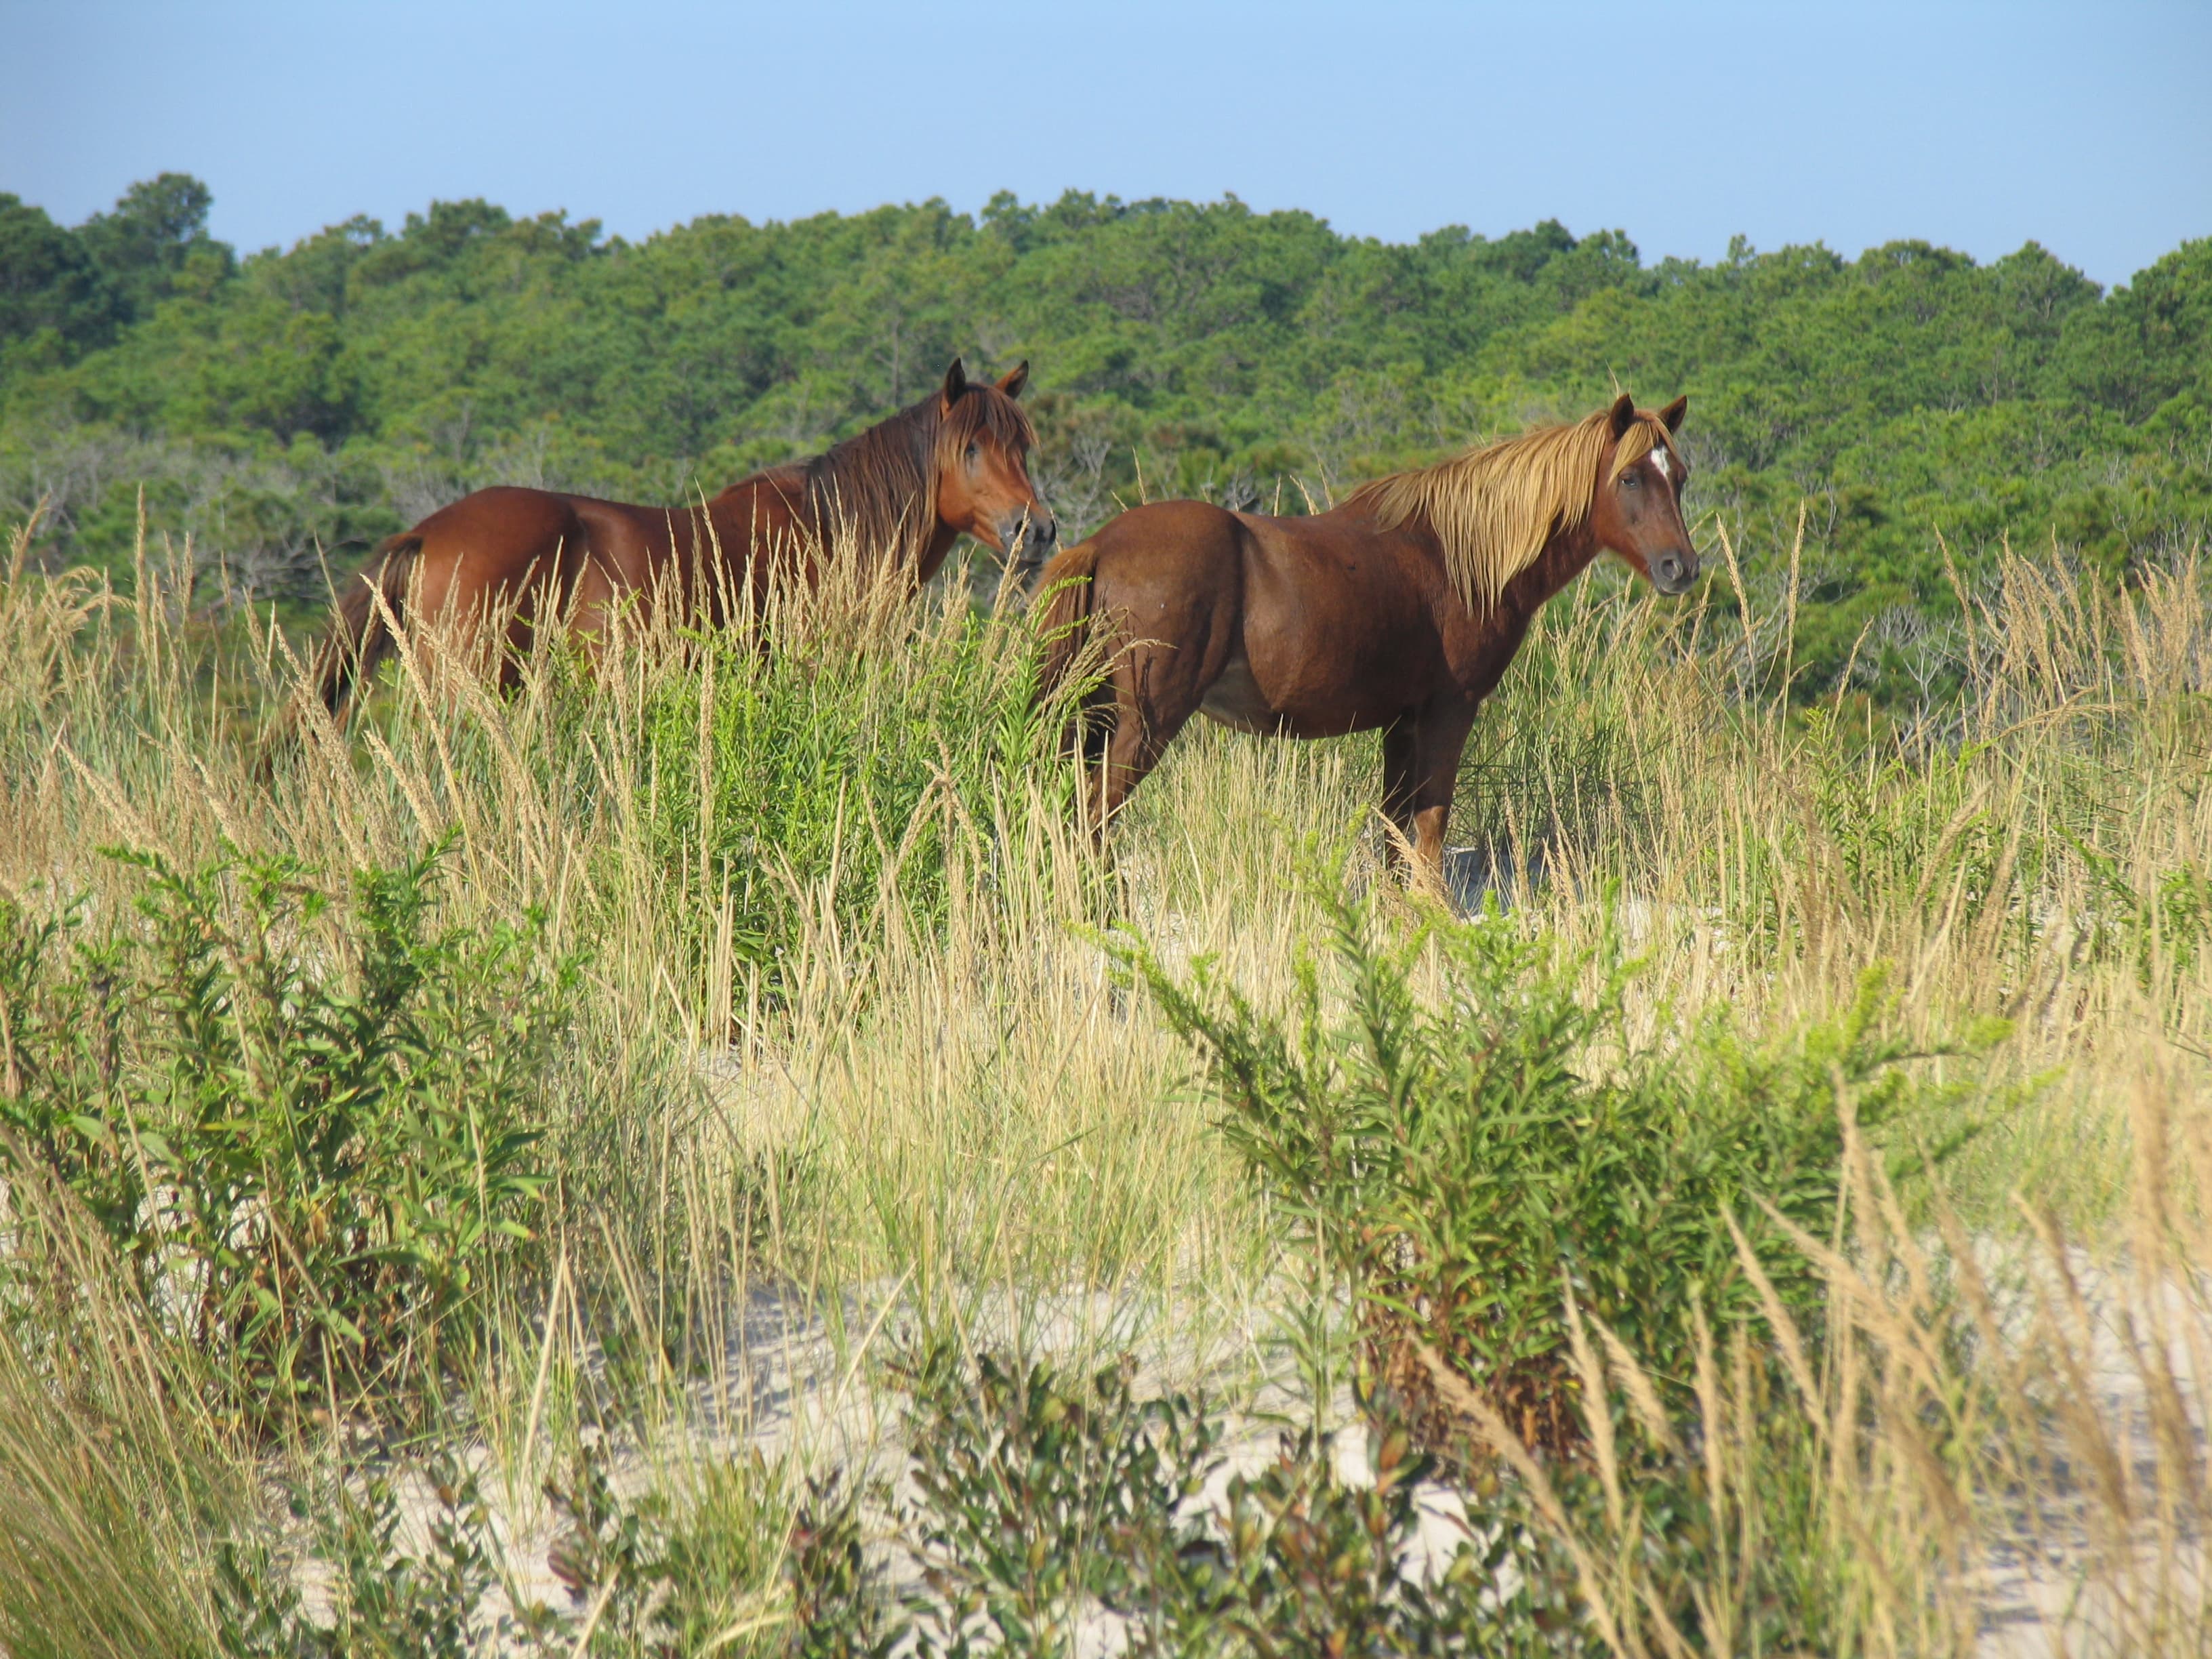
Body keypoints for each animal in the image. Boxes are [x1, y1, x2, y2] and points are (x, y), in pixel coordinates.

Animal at [1034, 393, 1696, 882]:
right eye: (1630, 478)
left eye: (1681, 478)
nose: (1681, 568)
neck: (1456, 556)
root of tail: (1100, 544)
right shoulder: (1448, 711)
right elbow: (1428, 833)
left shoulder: (1400, 725)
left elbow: (1396, 839)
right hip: (1143, 726)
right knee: (1092, 820)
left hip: (1092, 723)